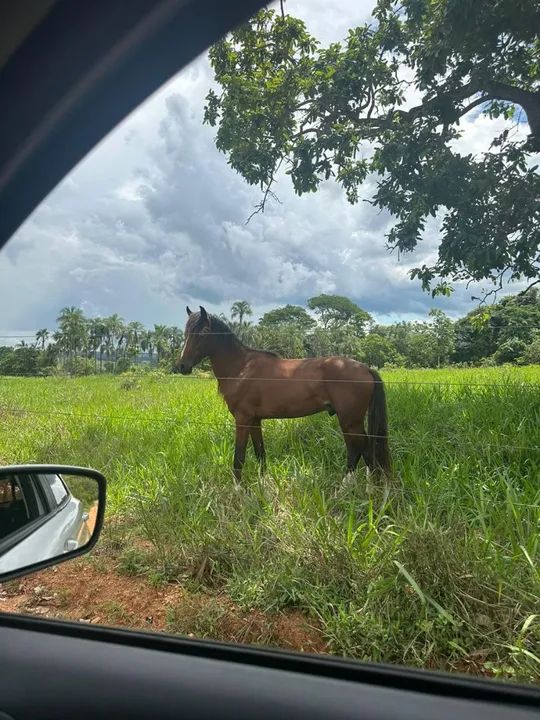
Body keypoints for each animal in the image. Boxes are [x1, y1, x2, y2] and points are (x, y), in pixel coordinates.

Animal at [173, 306, 391, 485]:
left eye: (203, 331)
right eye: (186, 332)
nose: (182, 366)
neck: (241, 368)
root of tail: (365, 368)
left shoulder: (242, 420)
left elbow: (239, 458)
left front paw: (239, 492)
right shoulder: (255, 420)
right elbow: (260, 452)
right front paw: (265, 485)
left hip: (350, 421)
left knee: (360, 451)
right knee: (364, 452)